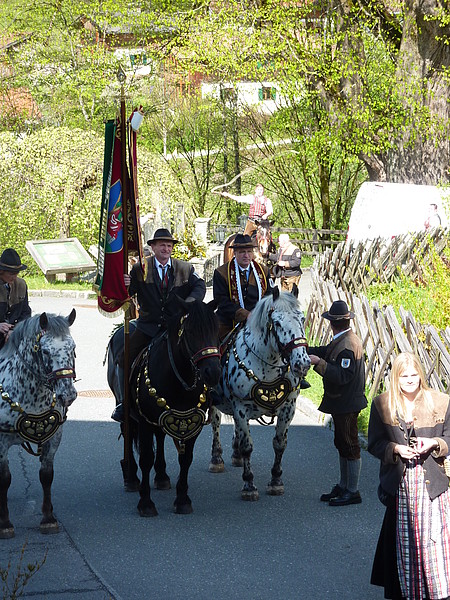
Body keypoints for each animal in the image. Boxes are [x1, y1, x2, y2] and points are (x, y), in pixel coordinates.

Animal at [0, 310, 77, 538]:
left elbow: (46, 476)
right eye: (45, 350)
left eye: (73, 348)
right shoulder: (1, 442)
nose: (67, 394)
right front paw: (5, 523)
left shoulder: (54, 438)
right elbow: (5, 479)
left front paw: (48, 518)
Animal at [107, 298, 221, 516]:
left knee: (159, 437)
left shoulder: (193, 423)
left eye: (216, 330)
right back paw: (131, 478)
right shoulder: (144, 421)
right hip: (125, 407)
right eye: (191, 331)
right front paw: (145, 503)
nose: (213, 372)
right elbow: (145, 458)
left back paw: (161, 476)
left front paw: (183, 499)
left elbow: (186, 459)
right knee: (127, 432)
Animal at [209, 287, 311, 500]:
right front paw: (249, 485)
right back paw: (217, 458)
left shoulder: (288, 409)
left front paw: (276, 481)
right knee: (215, 423)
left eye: (302, 318)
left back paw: (236, 456)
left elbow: (279, 444)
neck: (267, 365)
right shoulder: (240, 408)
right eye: (277, 323)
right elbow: (248, 446)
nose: (302, 363)